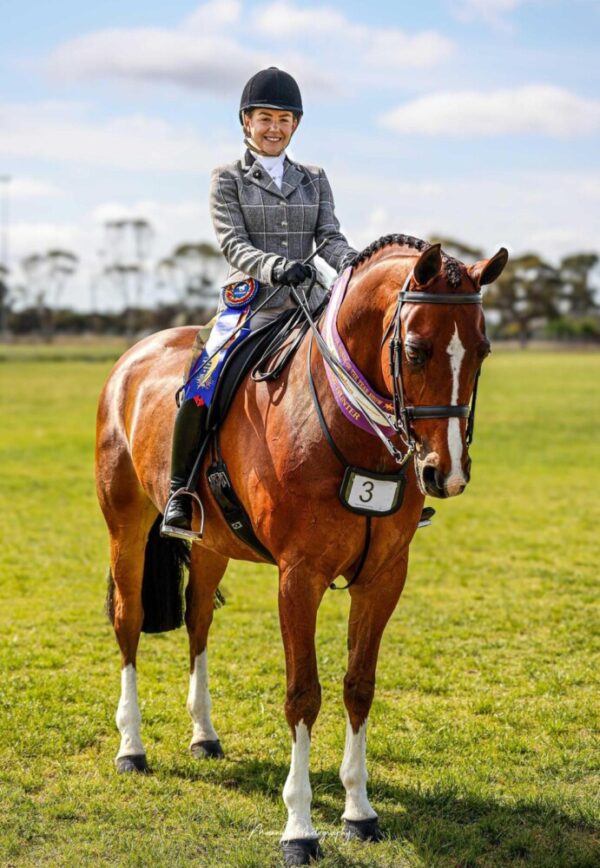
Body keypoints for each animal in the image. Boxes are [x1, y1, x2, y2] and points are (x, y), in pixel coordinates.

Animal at [96, 234, 508, 864]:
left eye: (482, 350)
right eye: (416, 350)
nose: (448, 474)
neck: (351, 422)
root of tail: (132, 357)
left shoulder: (384, 577)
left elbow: (359, 687)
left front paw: (359, 812)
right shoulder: (299, 577)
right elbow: (302, 695)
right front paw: (299, 827)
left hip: (211, 543)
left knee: (197, 622)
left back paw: (203, 735)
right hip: (126, 526)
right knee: (128, 619)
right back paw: (131, 747)